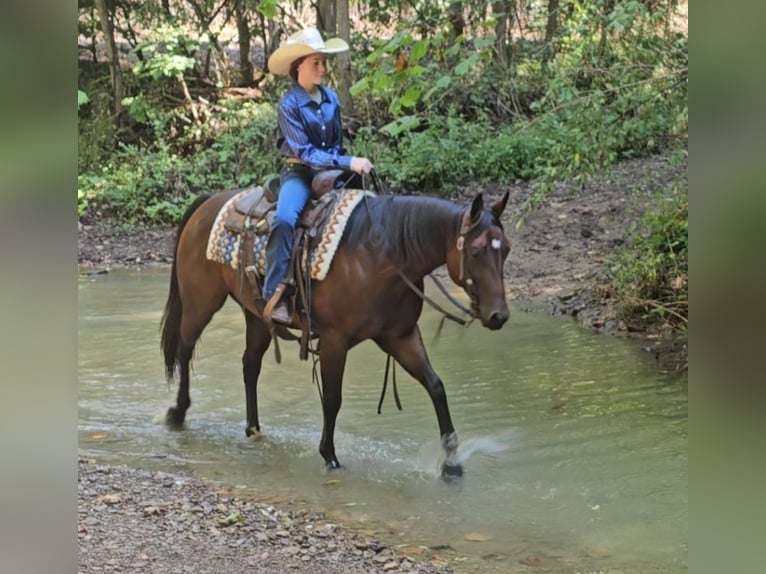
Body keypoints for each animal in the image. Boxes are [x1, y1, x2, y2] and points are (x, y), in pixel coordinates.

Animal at [160, 184, 511, 479]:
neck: (384, 256)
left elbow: (436, 387)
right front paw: (329, 456)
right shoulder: (334, 341)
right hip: (201, 301)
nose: (499, 316)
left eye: (505, 249)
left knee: (250, 366)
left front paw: (452, 464)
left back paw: (253, 430)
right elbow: (332, 399)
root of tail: (211, 201)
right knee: (185, 348)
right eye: (476, 251)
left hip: (257, 316)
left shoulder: (400, 336)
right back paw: (177, 413)